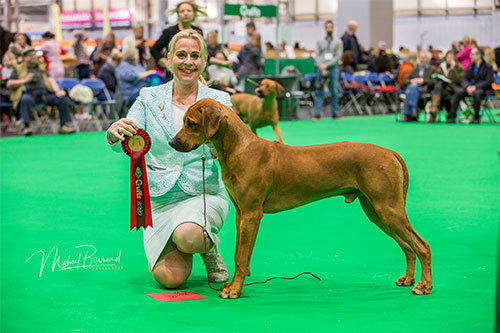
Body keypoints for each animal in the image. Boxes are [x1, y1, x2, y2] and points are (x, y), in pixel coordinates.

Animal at [170, 98, 432, 298]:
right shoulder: (241, 213)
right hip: (376, 211)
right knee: (408, 246)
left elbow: (242, 257)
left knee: (422, 245)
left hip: (388, 208)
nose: (172, 142)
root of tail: (390, 152)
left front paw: (235, 290)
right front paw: (231, 284)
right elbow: (239, 253)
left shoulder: (252, 214)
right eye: (183, 121)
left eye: (191, 123)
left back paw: (424, 285)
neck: (239, 148)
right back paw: (409, 279)